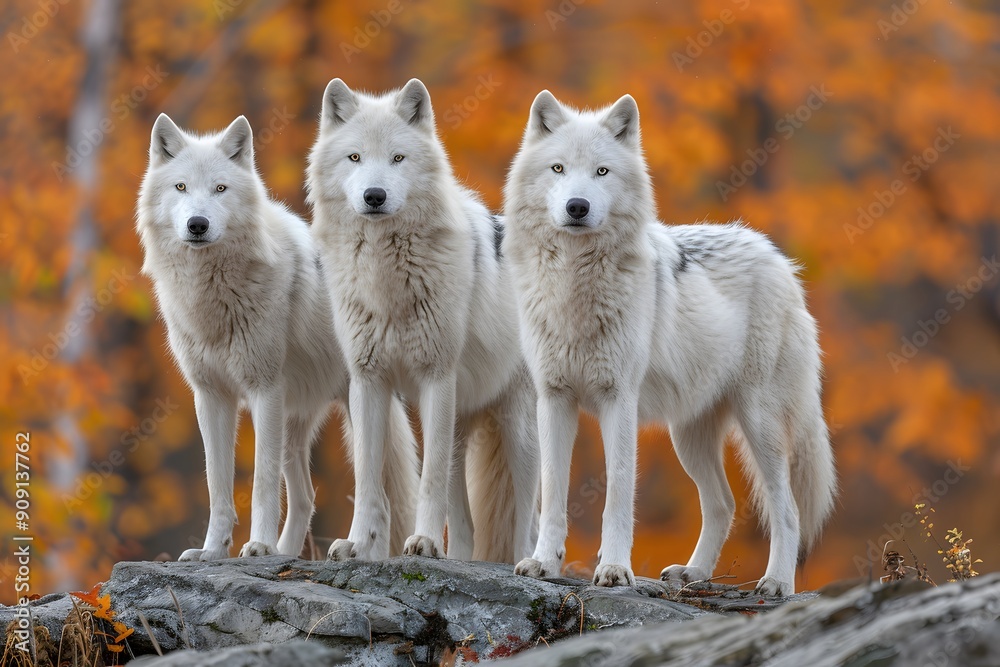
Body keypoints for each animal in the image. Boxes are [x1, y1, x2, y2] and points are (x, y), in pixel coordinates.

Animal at [137, 114, 418, 561]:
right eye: (180, 187)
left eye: (220, 189)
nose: (197, 224)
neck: (212, 296)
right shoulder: (210, 397)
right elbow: (217, 485)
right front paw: (212, 552)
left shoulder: (263, 390)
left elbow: (262, 482)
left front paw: (258, 545)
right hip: (295, 425)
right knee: (307, 498)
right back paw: (289, 553)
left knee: (379, 500)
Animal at [307, 79, 539, 564]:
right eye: (355, 158)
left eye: (398, 158)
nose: (374, 196)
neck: (386, 277)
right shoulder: (367, 382)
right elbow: (369, 478)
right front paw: (358, 544)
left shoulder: (436, 377)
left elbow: (426, 480)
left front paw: (425, 542)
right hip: (458, 432)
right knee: (466, 526)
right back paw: (459, 558)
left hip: (518, 430)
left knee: (527, 518)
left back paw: (526, 562)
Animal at [503, 91, 836, 594]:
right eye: (558, 169)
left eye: (602, 172)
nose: (577, 206)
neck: (574, 288)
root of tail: (779, 260)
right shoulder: (553, 398)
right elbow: (554, 492)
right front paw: (543, 563)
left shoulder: (618, 401)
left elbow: (618, 494)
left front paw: (615, 570)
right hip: (689, 437)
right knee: (723, 504)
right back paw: (694, 574)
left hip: (760, 423)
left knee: (788, 508)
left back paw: (777, 584)